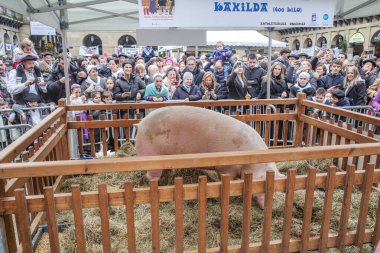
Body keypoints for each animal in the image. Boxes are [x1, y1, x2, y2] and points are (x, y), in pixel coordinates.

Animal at [135, 105, 284, 208]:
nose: (267, 207)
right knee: (151, 176)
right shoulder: (225, 167)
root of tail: (140, 123)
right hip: (151, 154)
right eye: (262, 185)